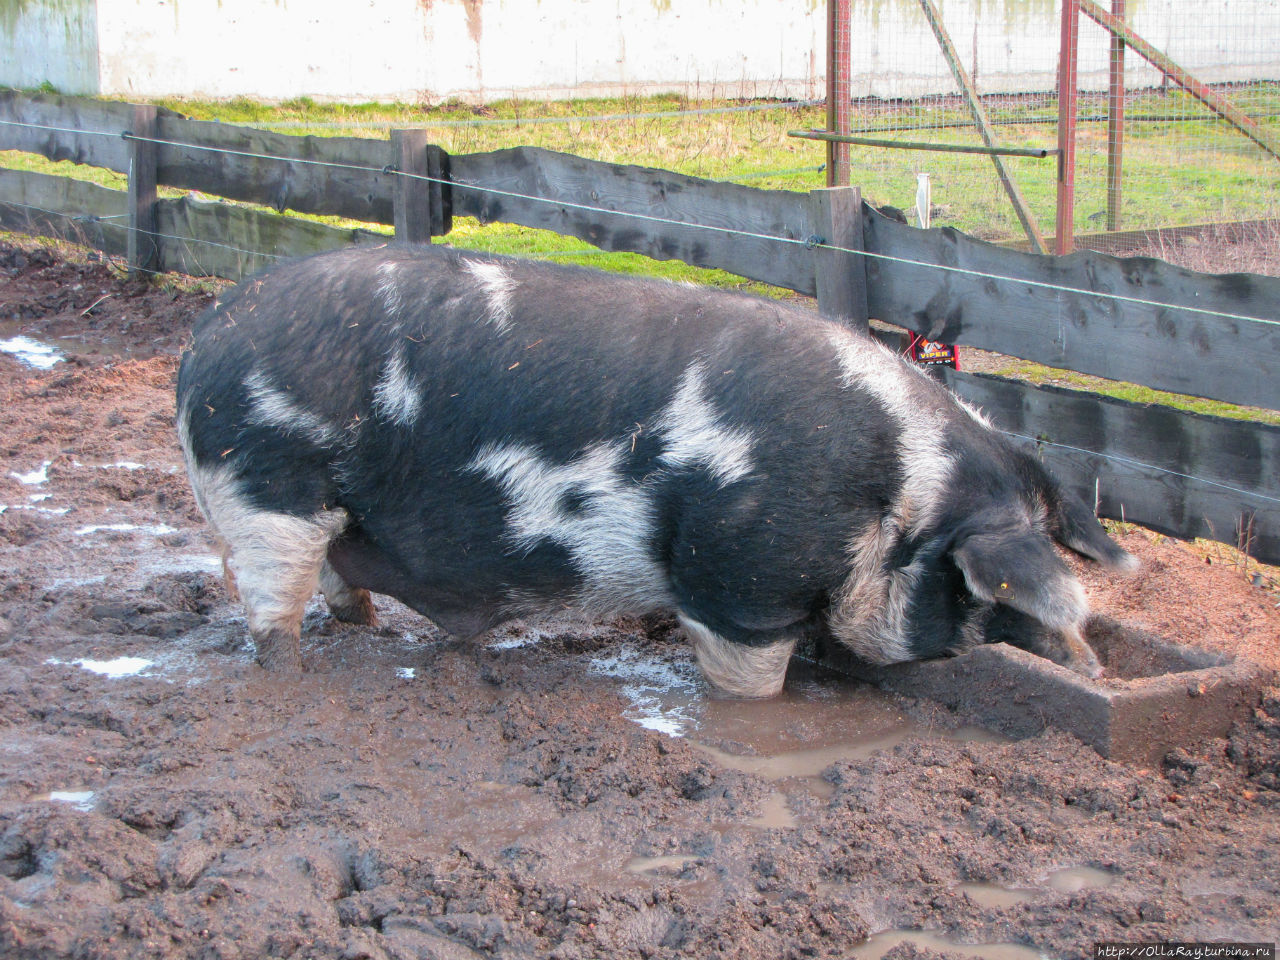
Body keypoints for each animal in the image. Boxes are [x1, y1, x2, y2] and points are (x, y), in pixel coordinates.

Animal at [175, 245, 1136, 701]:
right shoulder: (735, 583)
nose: (1096, 668)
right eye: (985, 589)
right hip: (267, 485)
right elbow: (752, 687)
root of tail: (205, 341)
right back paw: (291, 678)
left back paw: (367, 632)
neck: (898, 498)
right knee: (269, 608)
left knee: (338, 583)